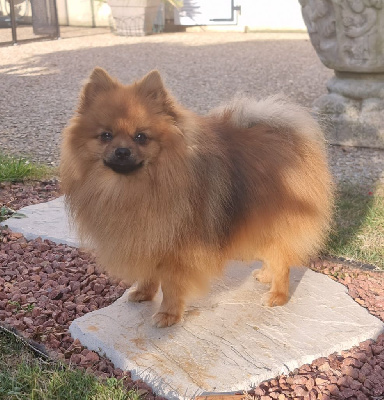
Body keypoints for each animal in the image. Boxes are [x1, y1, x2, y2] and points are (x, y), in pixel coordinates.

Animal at [60, 67, 332, 326]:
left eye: (141, 137)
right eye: (105, 135)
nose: (122, 151)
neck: (133, 188)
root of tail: (286, 138)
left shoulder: (176, 249)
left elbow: (171, 285)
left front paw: (168, 315)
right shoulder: (148, 238)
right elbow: (149, 273)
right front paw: (144, 293)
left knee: (282, 261)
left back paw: (277, 295)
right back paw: (265, 275)